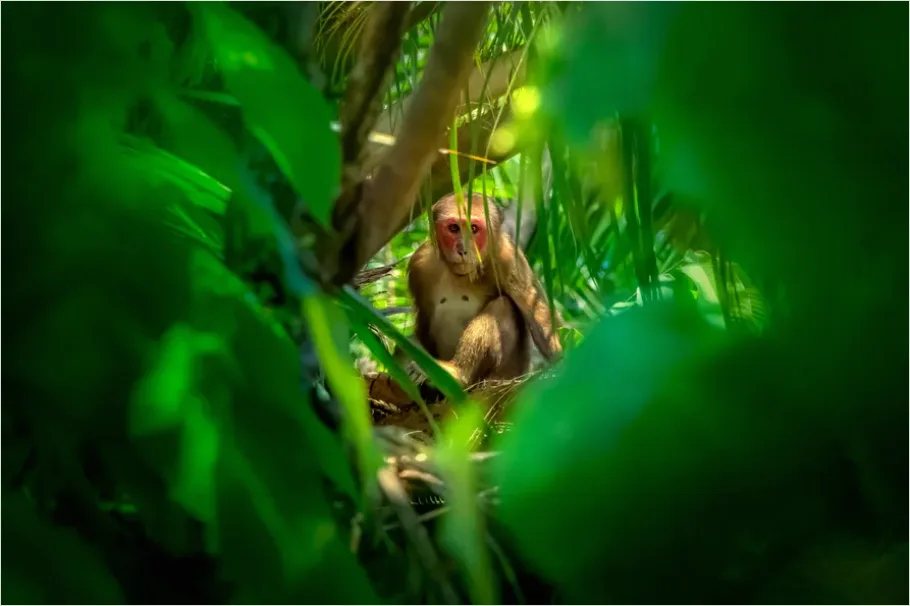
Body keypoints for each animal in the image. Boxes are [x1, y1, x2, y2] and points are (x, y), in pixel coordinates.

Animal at [402, 192, 563, 393]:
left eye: (474, 228)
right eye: (454, 228)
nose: (463, 249)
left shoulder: (507, 257)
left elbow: (536, 312)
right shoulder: (420, 262)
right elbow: (423, 321)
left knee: (503, 305)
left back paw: (457, 374)